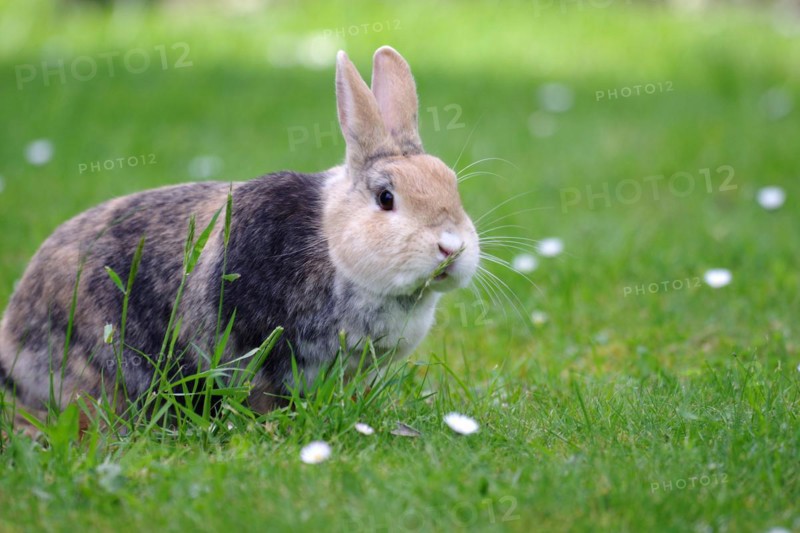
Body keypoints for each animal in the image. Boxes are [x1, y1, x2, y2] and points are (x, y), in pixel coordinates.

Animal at [0, 46, 480, 422]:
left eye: (451, 184)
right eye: (385, 198)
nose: (451, 247)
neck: (332, 247)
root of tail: (13, 336)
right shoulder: (256, 353)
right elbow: (261, 394)